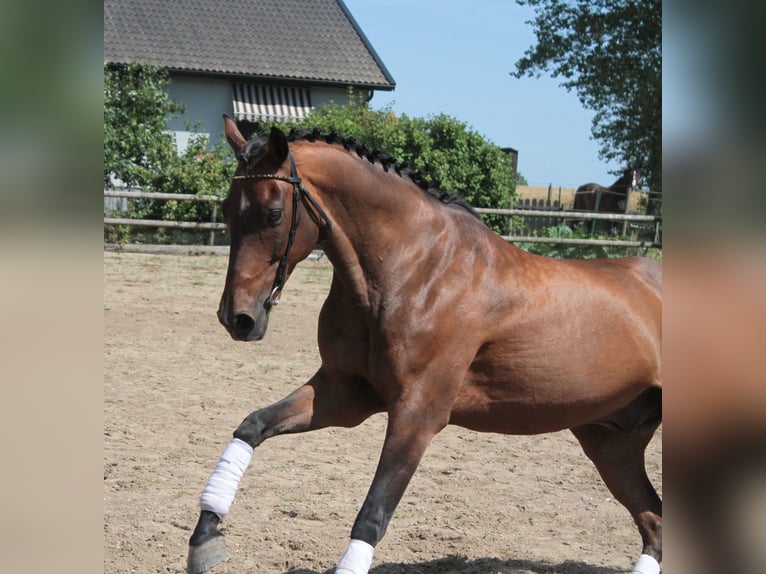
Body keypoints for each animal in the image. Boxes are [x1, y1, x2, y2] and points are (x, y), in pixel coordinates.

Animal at [188, 118, 664, 574]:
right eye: (227, 209)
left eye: (272, 213)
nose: (238, 318)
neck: (412, 271)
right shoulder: (344, 395)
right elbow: (252, 426)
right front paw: (205, 539)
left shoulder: (418, 414)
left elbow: (372, 515)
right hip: (610, 441)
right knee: (653, 518)